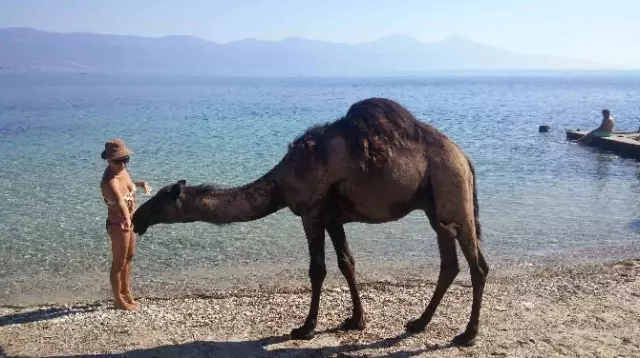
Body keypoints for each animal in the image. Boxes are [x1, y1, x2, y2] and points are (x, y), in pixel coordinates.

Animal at [131, 96, 490, 346]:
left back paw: (467, 334)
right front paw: (355, 321)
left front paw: (305, 327)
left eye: (161, 201)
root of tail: (465, 158)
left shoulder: (311, 213)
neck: (283, 180)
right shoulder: (333, 217)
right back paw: (418, 323)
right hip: (434, 209)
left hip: (453, 194)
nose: (136, 217)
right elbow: (347, 263)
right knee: (449, 264)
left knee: (478, 266)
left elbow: (317, 270)